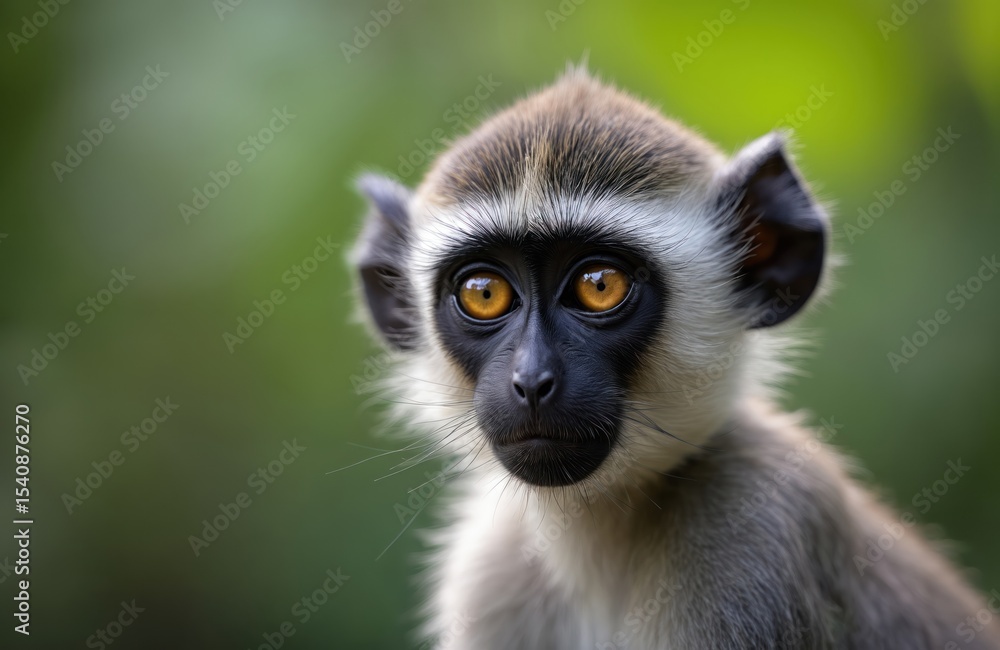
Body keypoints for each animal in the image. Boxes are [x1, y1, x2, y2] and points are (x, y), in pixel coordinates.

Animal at [349, 67, 1000, 649]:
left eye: (600, 285)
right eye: (484, 293)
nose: (531, 380)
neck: (601, 534)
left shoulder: (753, 537)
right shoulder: (488, 572)